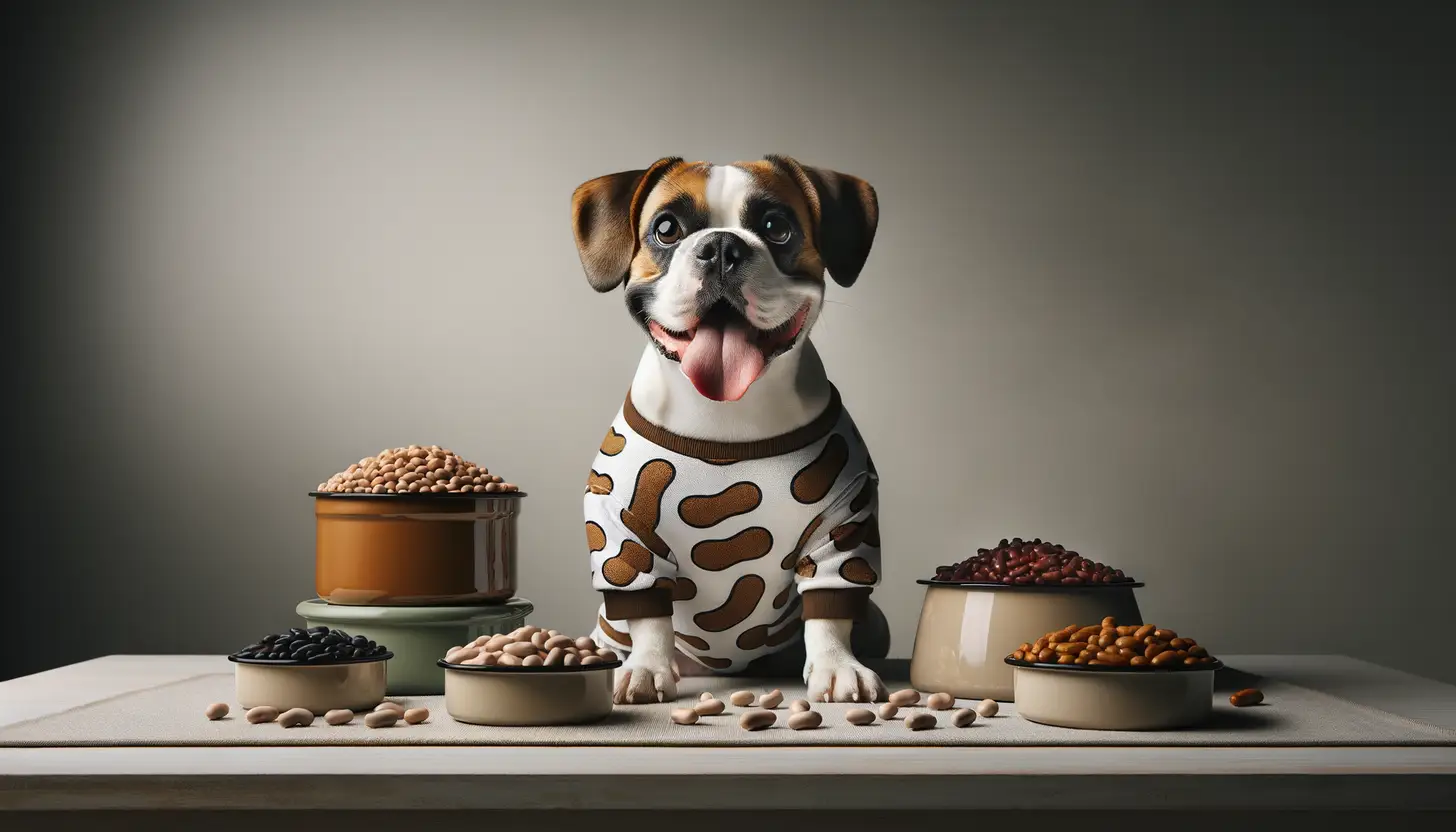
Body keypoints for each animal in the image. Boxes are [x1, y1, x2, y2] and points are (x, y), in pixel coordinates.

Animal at [567, 154, 885, 702]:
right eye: (666, 229)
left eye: (776, 227)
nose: (720, 247)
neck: (724, 415)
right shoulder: (621, 531)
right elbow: (648, 612)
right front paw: (647, 668)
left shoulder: (845, 525)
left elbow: (829, 608)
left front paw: (837, 665)